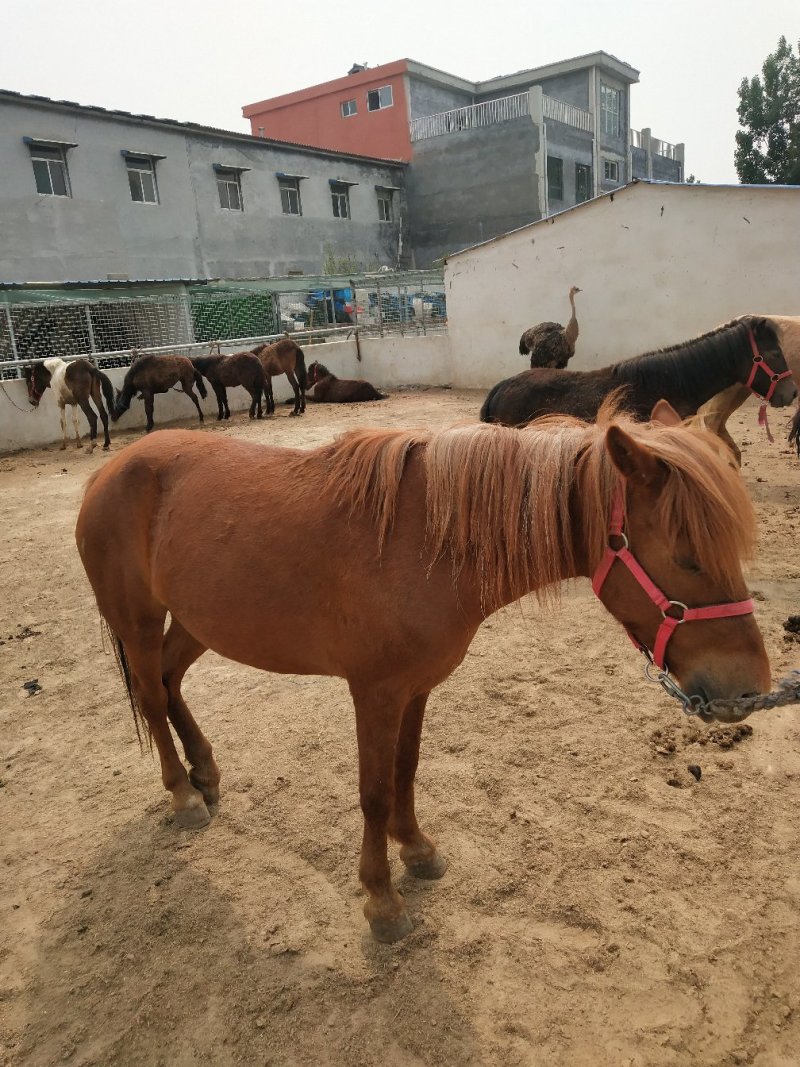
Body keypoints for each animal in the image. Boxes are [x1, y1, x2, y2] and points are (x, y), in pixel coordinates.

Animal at [75, 400, 770, 942]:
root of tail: (108, 471)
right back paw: (184, 793)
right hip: (139, 623)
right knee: (150, 694)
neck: (429, 543)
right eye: (688, 557)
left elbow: (405, 772)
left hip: (198, 622)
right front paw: (382, 901)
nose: (748, 691)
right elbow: (374, 792)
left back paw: (206, 772)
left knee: (169, 681)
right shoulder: (375, 693)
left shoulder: (415, 689)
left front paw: (416, 851)